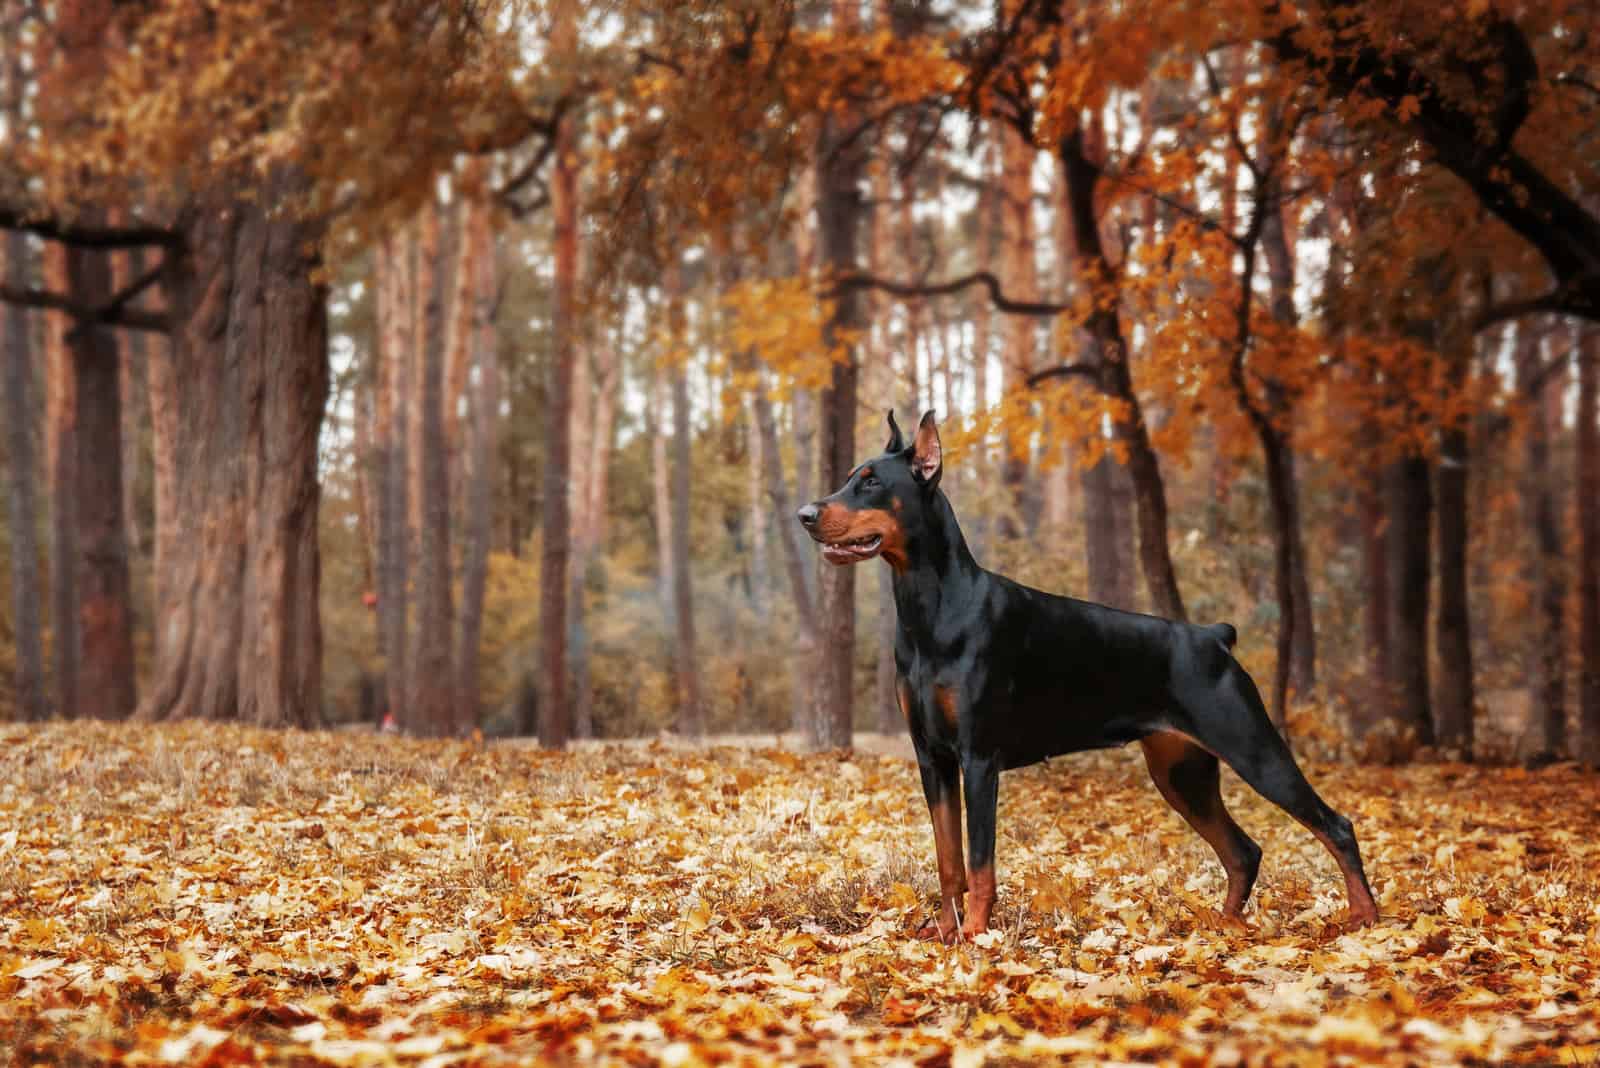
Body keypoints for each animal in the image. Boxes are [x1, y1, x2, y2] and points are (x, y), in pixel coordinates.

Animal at [800, 412, 1376, 940]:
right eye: (849, 477)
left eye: (871, 482)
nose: (804, 514)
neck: (931, 609)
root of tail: (1213, 636)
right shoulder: (932, 758)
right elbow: (948, 861)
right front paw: (946, 934)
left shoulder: (978, 759)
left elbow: (981, 863)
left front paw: (978, 939)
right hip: (1180, 771)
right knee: (1243, 851)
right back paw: (1223, 926)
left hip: (1253, 747)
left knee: (1336, 825)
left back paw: (1364, 919)